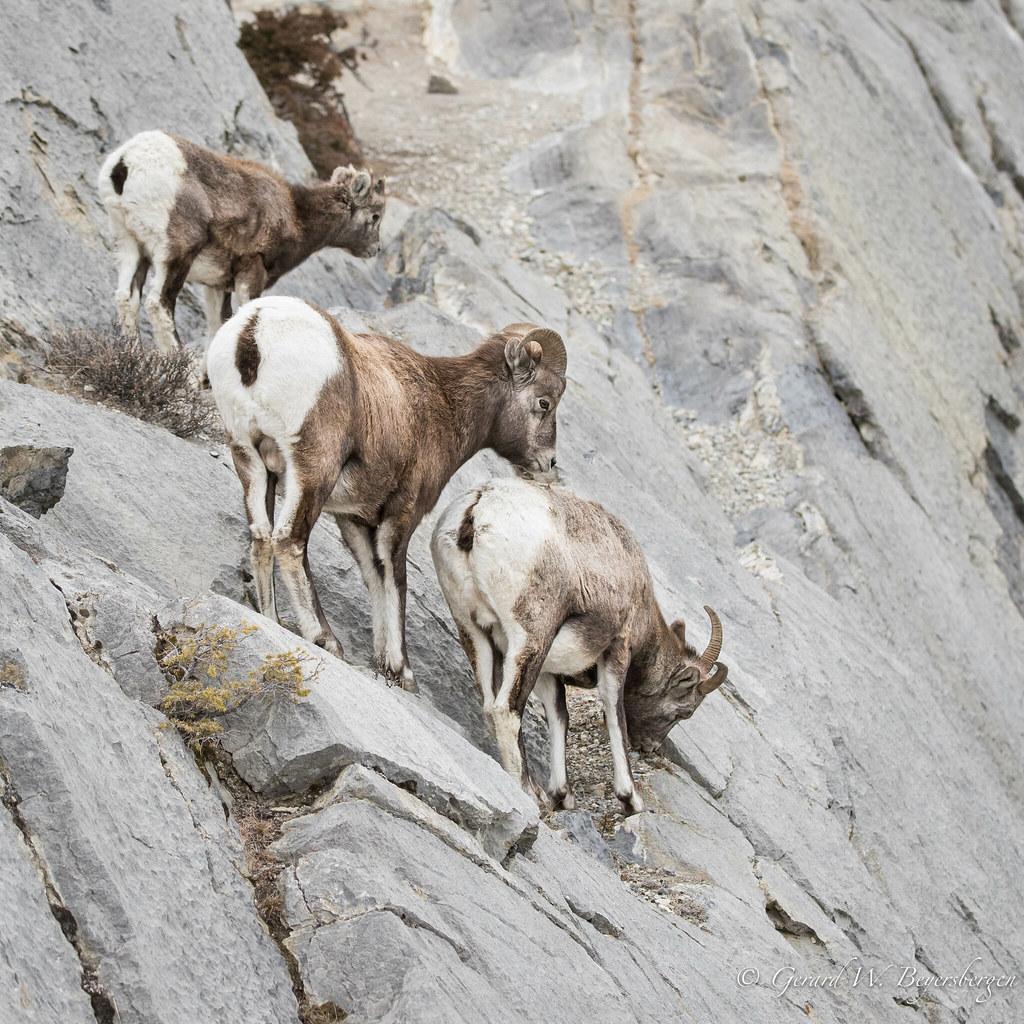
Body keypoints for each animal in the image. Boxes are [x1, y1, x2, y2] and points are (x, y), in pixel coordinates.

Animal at [96, 130, 386, 357]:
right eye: (375, 216)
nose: (376, 249)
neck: (295, 215)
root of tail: (124, 163)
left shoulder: (216, 285)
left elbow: (219, 326)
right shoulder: (252, 271)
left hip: (131, 245)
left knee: (126, 298)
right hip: (178, 251)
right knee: (159, 304)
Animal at [207, 296, 568, 692]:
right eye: (545, 403)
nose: (549, 462)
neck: (442, 405)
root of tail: (254, 328)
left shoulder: (354, 518)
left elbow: (374, 576)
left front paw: (384, 662)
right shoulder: (402, 513)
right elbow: (397, 580)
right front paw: (403, 670)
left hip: (250, 459)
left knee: (260, 537)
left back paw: (272, 618)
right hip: (311, 469)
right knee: (289, 541)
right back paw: (326, 640)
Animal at [431, 477, 729, 813]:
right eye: (684, 711)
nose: (649, 747)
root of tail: (476, 510)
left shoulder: (548, 672)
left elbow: (559, 715)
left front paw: (563, 795)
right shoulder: (616, 651)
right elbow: (615, 714)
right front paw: (631, 799)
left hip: (473, 631)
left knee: (489, 704)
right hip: (530, 639)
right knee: (505, 710)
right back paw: (529, 792)